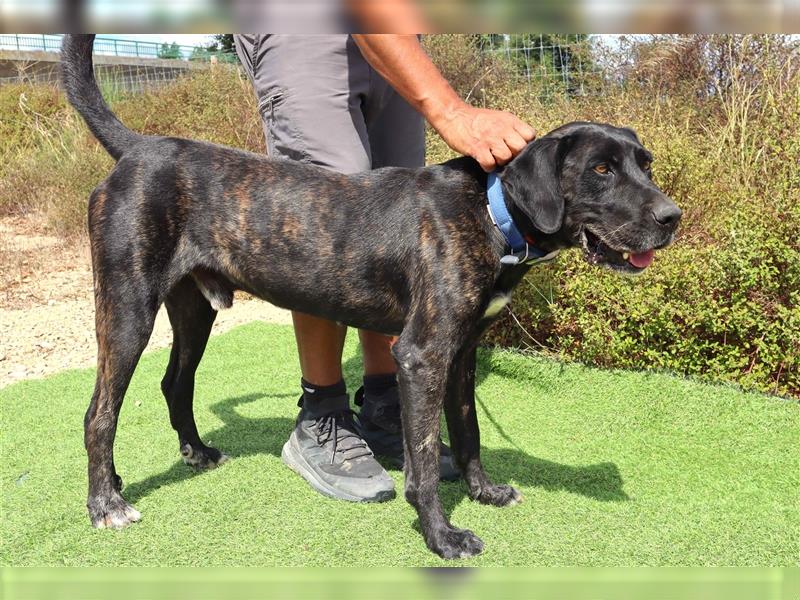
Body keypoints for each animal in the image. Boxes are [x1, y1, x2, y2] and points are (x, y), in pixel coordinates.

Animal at [62, 32, 680, 556]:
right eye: (600, 169)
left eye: (644, 165)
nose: (672, 218)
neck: (490, 211)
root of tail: (137, 149)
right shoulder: (423, 355)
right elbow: (424, 459)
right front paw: (441, 536)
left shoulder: (460, 353)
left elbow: (469, 431)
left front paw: (482, 491)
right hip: (127, 309)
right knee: (98, 412)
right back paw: (106, 502)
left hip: (193, 309)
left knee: (174, 382)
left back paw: (191, 453)